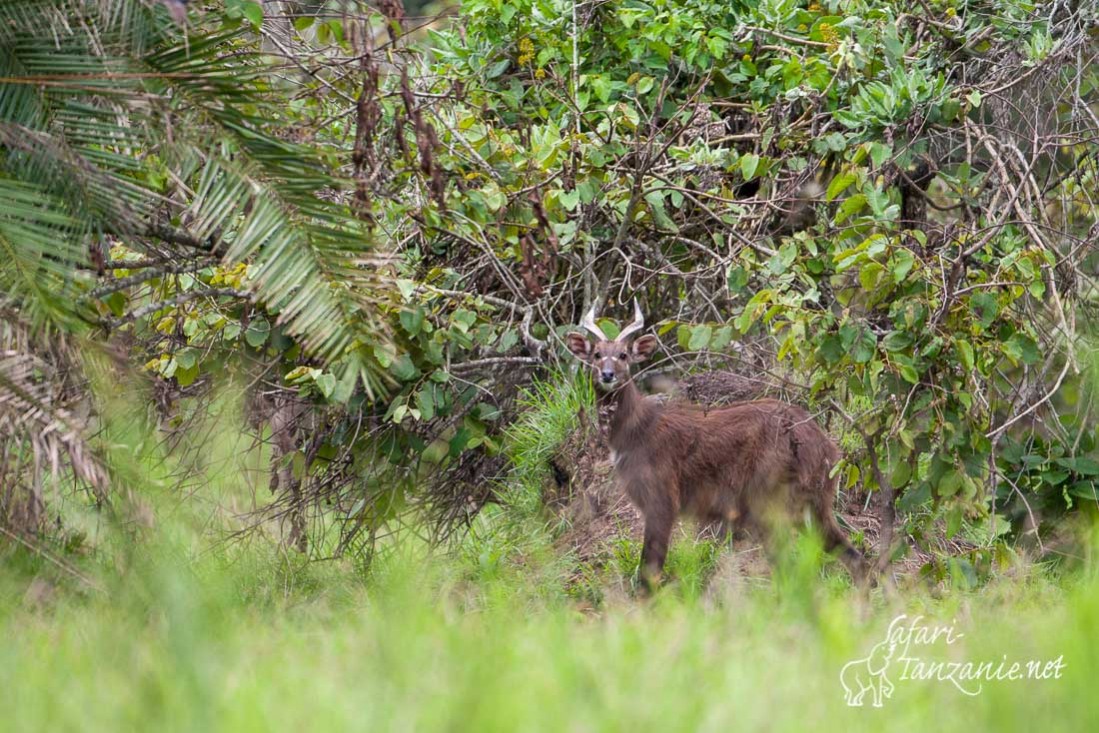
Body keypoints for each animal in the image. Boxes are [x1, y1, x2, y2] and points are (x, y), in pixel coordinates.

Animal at [567, 298, 866, 589]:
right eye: (596, 354)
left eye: (623, 355)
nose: (607, 374)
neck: (637, 432)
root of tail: (826, 449)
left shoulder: (663, 498)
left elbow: (649, 575)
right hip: (813, 505)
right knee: (854, 560)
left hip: (770, 499)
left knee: (794, 570)